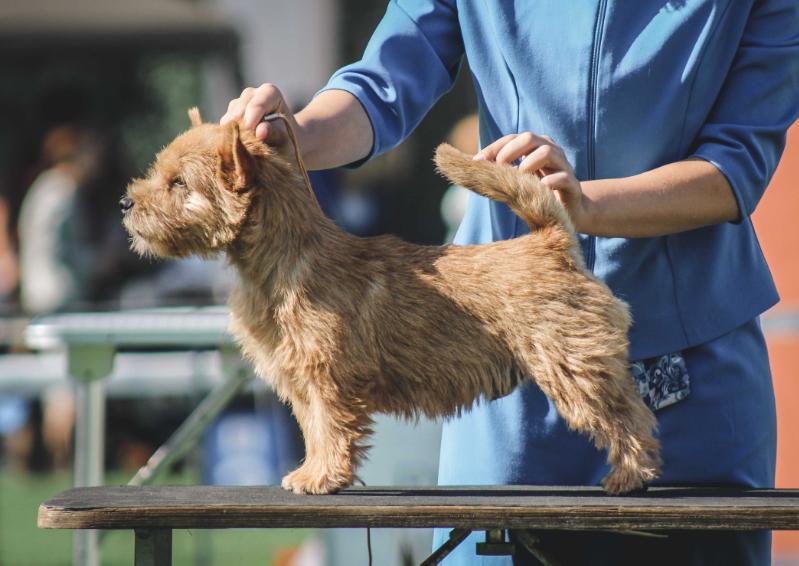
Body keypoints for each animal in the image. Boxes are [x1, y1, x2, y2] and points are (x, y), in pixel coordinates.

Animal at [122, 107, 664, 496]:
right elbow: (313, 429)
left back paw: (630, 474)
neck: (282, 261)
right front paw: (311, 472)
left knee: (627, 414)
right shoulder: (300, 382)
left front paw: (324, 479)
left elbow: (331, 427)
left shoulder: (326, 377)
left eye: (178, 183)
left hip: (571, 364)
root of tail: (552, 242)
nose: (126, 202)